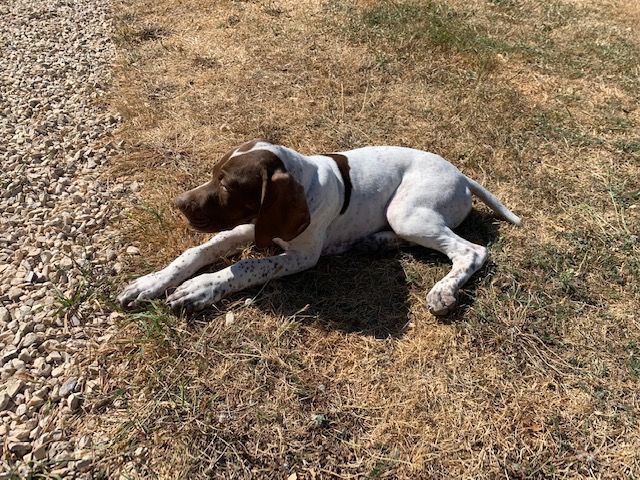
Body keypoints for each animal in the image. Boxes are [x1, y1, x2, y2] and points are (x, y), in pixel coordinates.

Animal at [119, 139, 520, 316]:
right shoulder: (251, 225)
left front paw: (200, 289)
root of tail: (462, 176)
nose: (179, 203)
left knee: (472, 251)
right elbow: (197, 251)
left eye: (229, 185)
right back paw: (376, 242)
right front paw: (150, 283)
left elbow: (243, 267)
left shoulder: (301, 255)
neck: (304, 178)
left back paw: (443, 291)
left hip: (407, 213)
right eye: (214, 174)